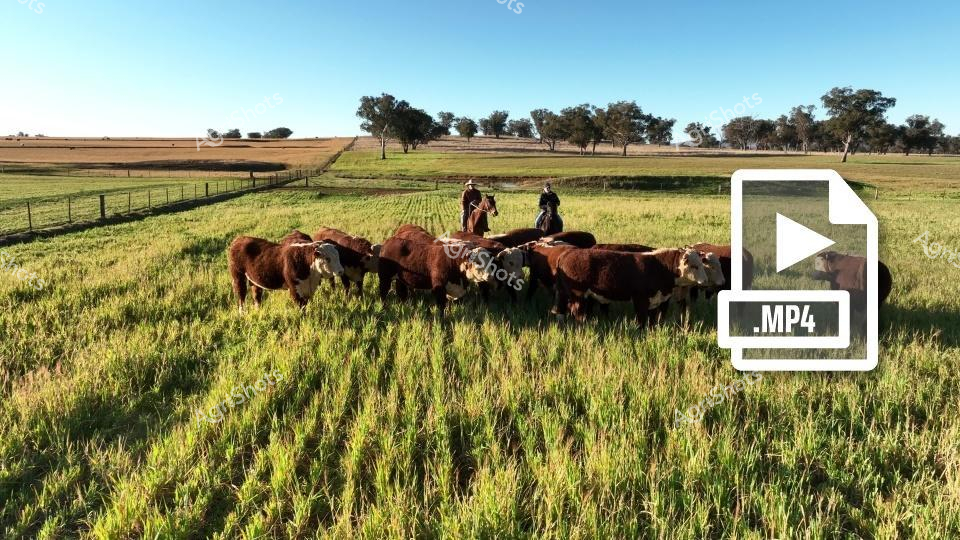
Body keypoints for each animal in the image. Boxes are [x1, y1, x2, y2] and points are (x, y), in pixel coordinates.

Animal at [555, 248, 709, 326]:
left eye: (702, 265)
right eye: (694, 266)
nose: (705, 280)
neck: (660, 266)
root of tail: (566, 254)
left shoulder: (655, 300)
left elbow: (652, 320)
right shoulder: (640, 299)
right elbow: (641, 319)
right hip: (578, 294)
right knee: (577, 311)